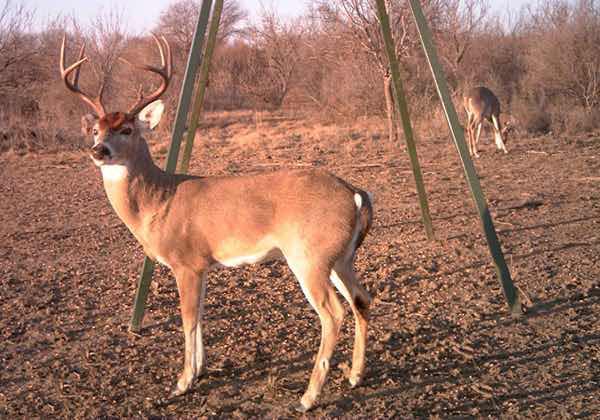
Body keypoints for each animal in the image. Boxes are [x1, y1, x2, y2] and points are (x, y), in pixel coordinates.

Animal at [58, 34, 372, 412]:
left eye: (127, 129)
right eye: (95, 129)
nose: (99, 151)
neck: (158, 203)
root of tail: (355, 193)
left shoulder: (186, 261)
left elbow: (188, 318)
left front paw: (182, 382)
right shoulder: (203, 265)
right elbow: (201, 316)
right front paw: (200, 369)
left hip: (310, 256)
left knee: (333, 313)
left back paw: (307, 398)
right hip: (340, 257)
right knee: (361, 299)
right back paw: (354, 376)